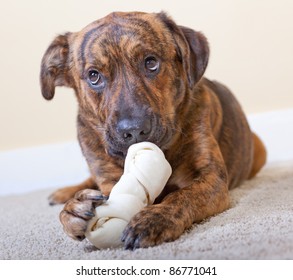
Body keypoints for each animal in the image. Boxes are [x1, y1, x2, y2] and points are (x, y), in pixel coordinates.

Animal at [40, 12, 266, 249]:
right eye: (94, 76)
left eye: (151, 63)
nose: (134, 130)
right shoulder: (109, 181)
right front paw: (71, 212)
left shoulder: (211, 178)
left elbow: (183, 196)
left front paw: (156, 218)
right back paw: (66, 194)